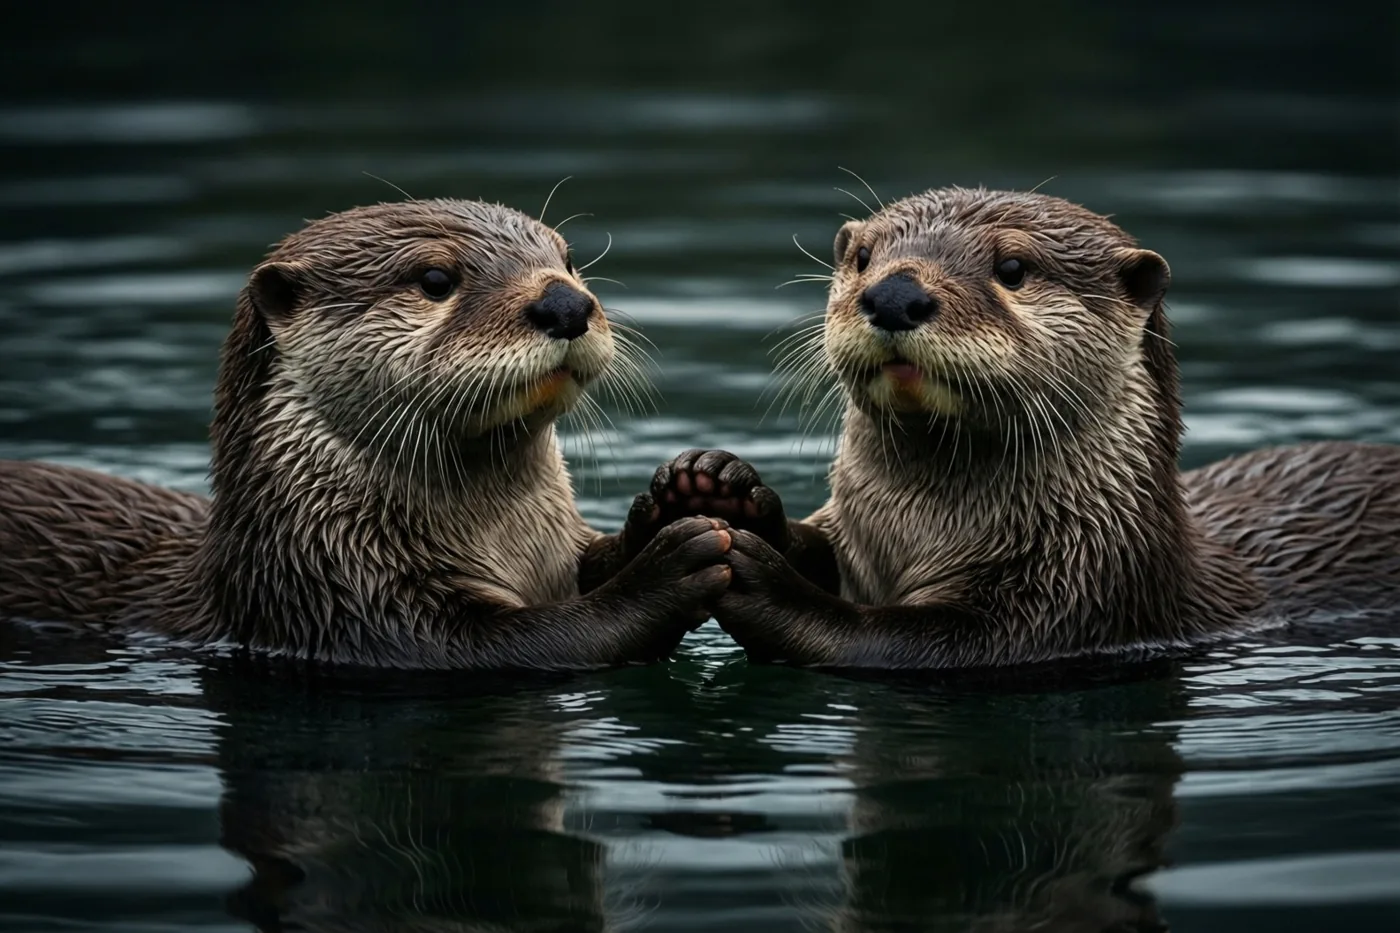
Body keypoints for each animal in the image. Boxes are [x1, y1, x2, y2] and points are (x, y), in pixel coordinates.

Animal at [0, 198, 732, 670]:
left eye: (570, 260)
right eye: (435, 278)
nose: (566, 303)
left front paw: (692, 489)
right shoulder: (358, 612)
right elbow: (534, 642)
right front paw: (668, 568)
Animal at [623, 187, 1400, 669]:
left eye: (1014, 266)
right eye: (864, 258)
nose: (895, 293)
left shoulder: (1066, 606)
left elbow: (893, 640)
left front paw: (766, 581)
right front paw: (715, 485)